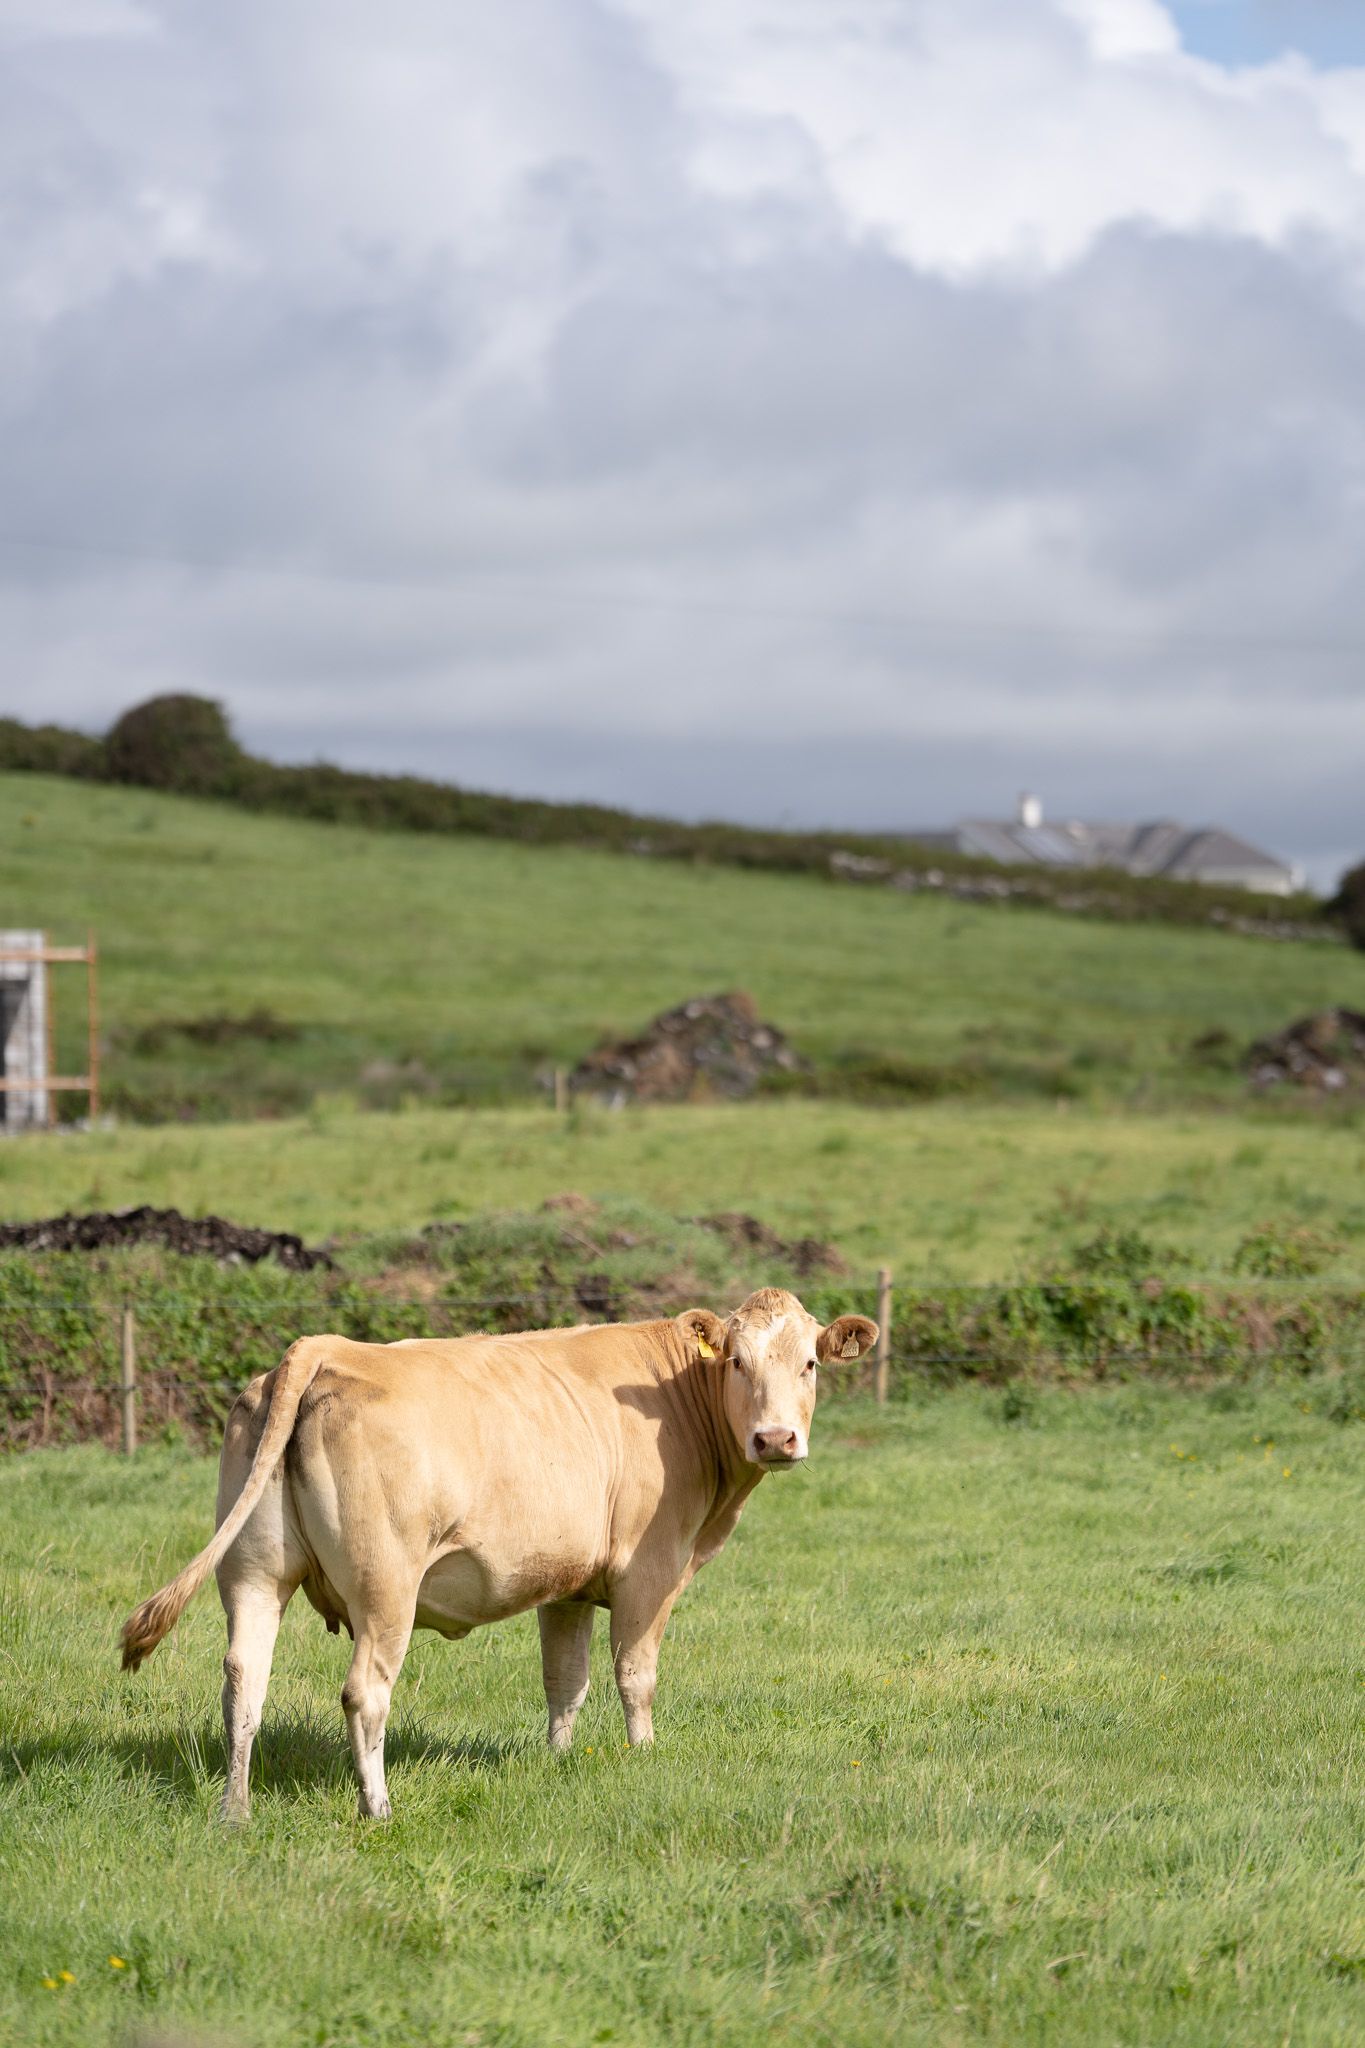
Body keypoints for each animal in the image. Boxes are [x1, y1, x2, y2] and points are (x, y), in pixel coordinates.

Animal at [120, 1287, 878, 1820]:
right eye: (738, 1363)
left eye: (809, 1364)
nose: (774, 1439)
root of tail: (325, 1349)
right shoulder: (650, 1571)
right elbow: (635, 1675)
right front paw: (642, 1757)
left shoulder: (568, 1584)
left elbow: (564, 1681)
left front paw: (560, 1760)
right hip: (385, 1587)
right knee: (365, 1692)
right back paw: (377, 1807)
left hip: (253, 1574)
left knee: (243, 1681)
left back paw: (235, 1810)